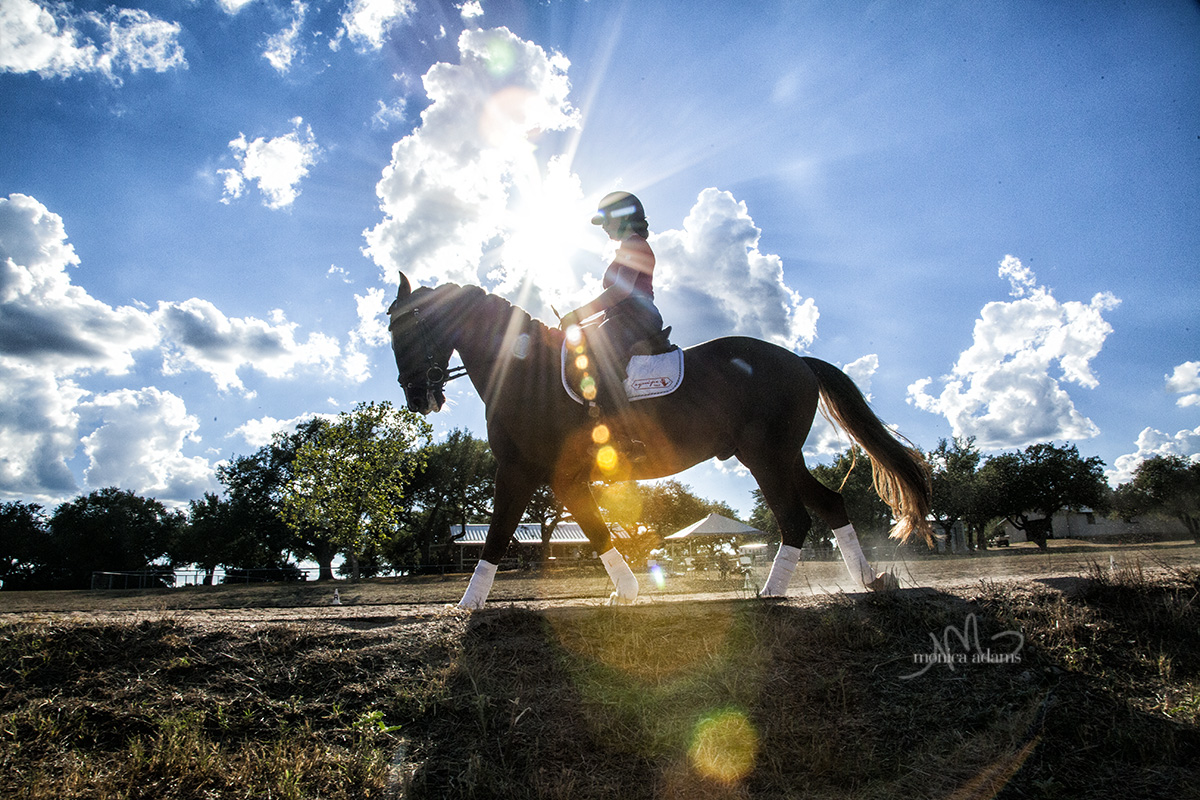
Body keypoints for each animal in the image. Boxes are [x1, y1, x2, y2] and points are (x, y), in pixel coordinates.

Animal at [388, 275, 931, 606]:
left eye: (408, 328)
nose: (417, 397)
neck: (525, 368)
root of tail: (798, 360)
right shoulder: (558, 478)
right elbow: (596, 532)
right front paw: (626, 592)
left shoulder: (521, 470)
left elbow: (501, 533)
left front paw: (467, 603)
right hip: (784, 455)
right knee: (830, 503)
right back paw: (867, 579)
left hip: (766, 456)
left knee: (795, 517)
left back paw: (772, 592)